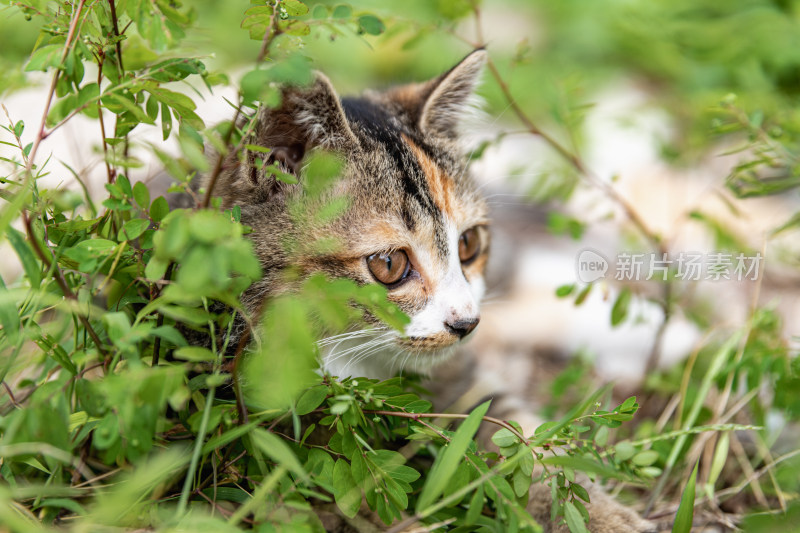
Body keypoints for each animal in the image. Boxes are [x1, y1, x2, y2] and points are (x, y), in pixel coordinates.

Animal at [205, 51, 656, 532]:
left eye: (468, 243)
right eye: (388, 265)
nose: (467, 322)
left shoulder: (462, 381)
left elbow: (521, 439)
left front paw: (603, 515)